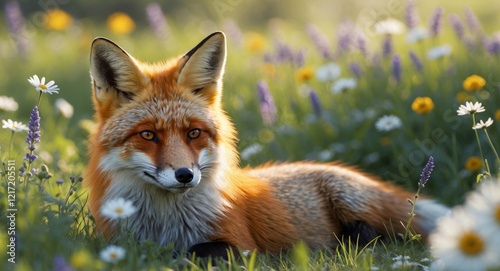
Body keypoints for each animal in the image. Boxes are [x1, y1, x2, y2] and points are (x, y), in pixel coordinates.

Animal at [84, 31, 448, 258]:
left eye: (193, 133)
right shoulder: (115, 242)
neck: (165, 223)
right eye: (148, 135)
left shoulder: (241, 245)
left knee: (384, 233)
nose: (185, 175)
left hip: (350, 199)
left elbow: (195, 251)